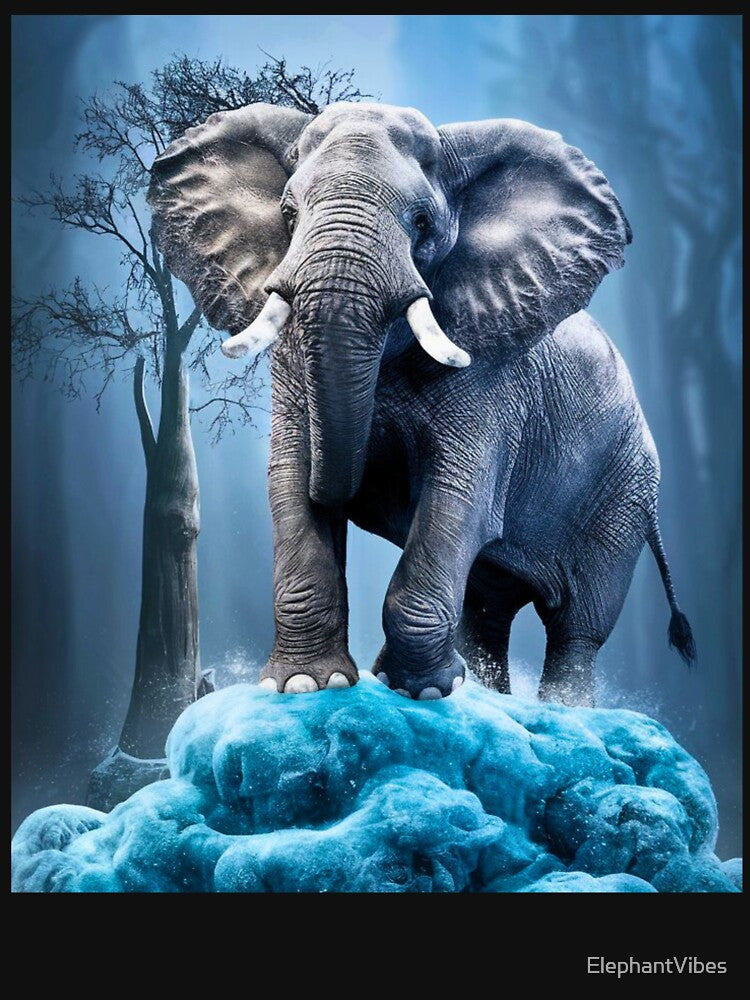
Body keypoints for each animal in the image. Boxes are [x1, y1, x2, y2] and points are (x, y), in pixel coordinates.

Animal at [148, 101, 695, 706]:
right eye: (289, 216)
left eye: (422, 223)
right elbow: (290, 478)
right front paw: (308, 685)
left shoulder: (491, 378)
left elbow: (457, 496)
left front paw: (420, 691)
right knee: (487, 611)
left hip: (622, 495)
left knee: (577, 625)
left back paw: (561, 713)